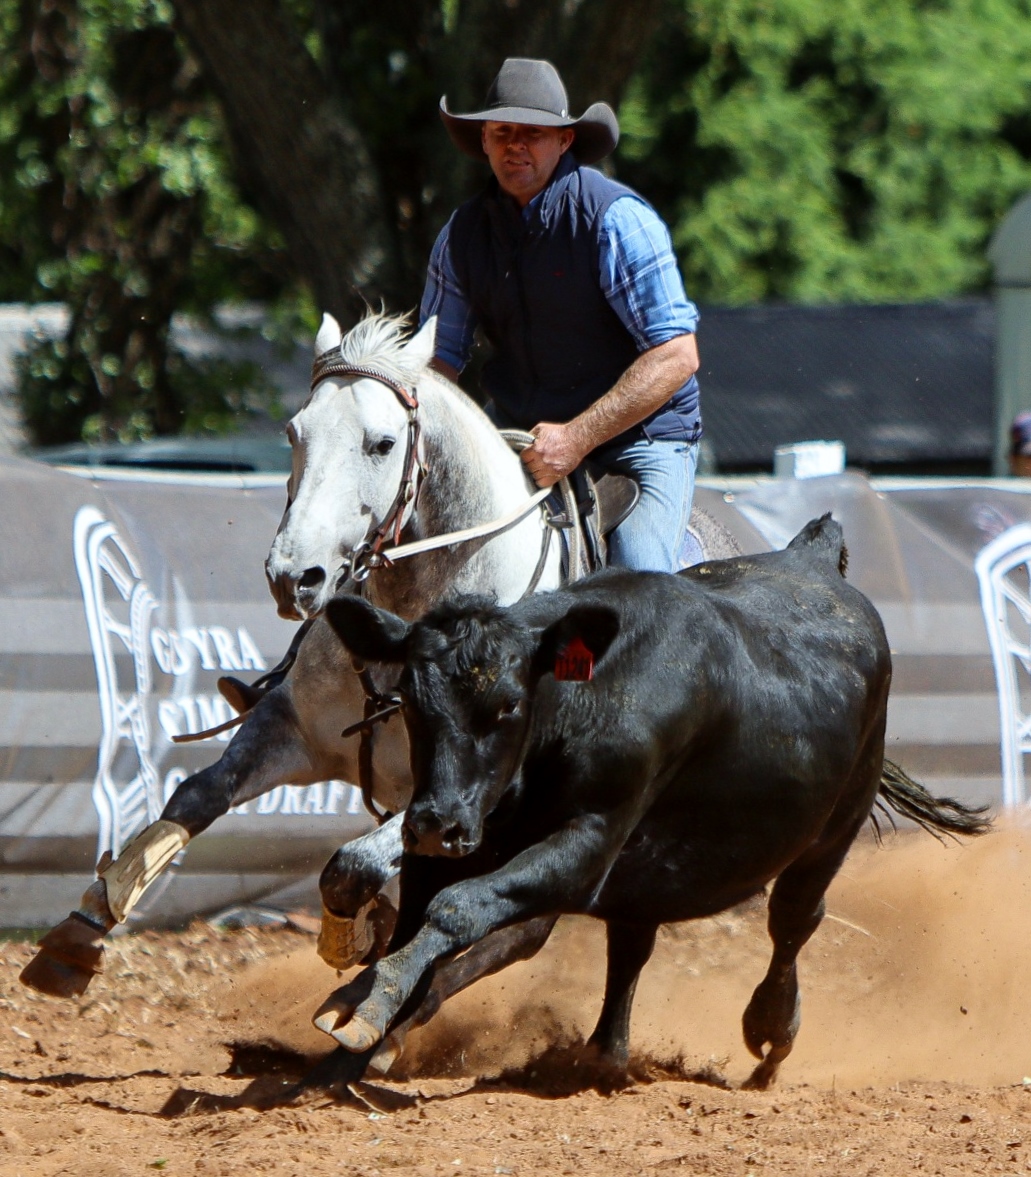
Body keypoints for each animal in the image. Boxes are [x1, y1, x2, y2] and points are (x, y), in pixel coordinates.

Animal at [306, 515, 989, 1093]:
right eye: (411, 702)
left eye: (508, 704)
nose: (437, 824)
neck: (585, 699)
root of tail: (813, 557)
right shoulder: (450, 842)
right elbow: (421, 921)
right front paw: (355, 1027)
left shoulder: (588, 843)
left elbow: (457, 909)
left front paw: (373, 1005)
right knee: (633, 941)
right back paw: (604, 1053)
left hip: (832, 829)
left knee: (794, 920)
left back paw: (769, 1030)